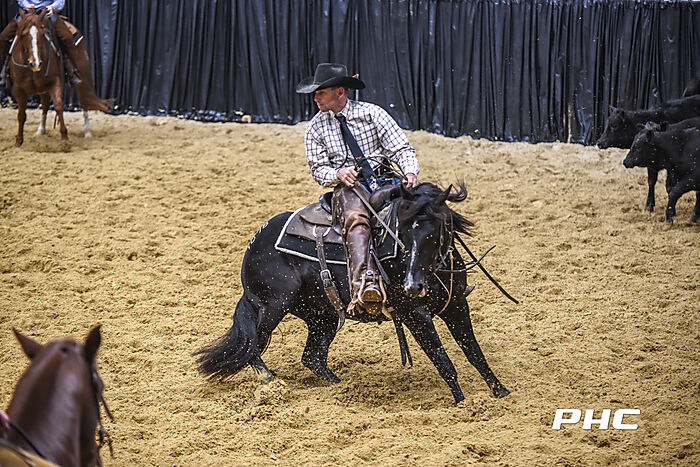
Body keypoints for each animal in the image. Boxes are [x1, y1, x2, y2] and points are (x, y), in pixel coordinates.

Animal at [9, 10, 111, 147]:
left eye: (42, 34)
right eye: (24, 35)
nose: (36, 63)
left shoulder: (55, 82)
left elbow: (58, 106)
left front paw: (65, 139)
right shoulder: (18, 89)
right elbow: (21, 114)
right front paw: (18, 141)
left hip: (82, 71)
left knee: (84, 100)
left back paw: (88, 131)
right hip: (43, 89)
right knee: (45, 104)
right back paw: (40, 130)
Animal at [195, 182, 511, 404]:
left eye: (435, 231)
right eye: (403, 232)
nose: (412, 286)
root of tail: (255, 243)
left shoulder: (456, 305)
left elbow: (474, 353)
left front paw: (502, 393)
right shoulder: (414, 314)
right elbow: (442, 359)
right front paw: (462, 403)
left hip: (321, 316)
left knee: (312, 356)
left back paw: (341, 386)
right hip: (273, 305)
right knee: (253, 344)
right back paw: (271, 383)